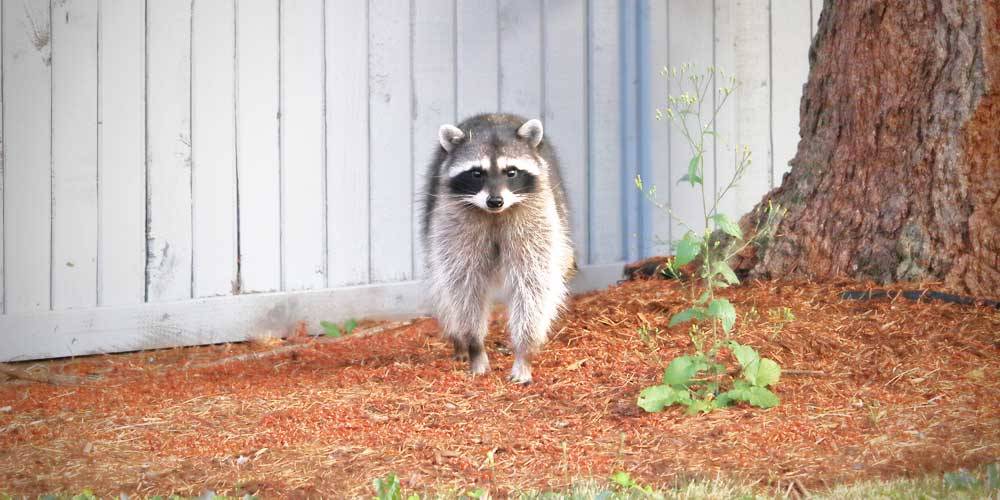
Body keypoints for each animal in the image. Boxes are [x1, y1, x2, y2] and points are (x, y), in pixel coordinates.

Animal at [422, 113, 580, 384]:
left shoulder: (535, 216)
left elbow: (534, 283)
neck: (494, 214)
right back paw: (458, 340)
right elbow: (463, 283)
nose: (495, 201)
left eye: (511, 172)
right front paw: (474, 344)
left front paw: (524, 351)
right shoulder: (453, 220)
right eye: (476, 173)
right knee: (444, 289)